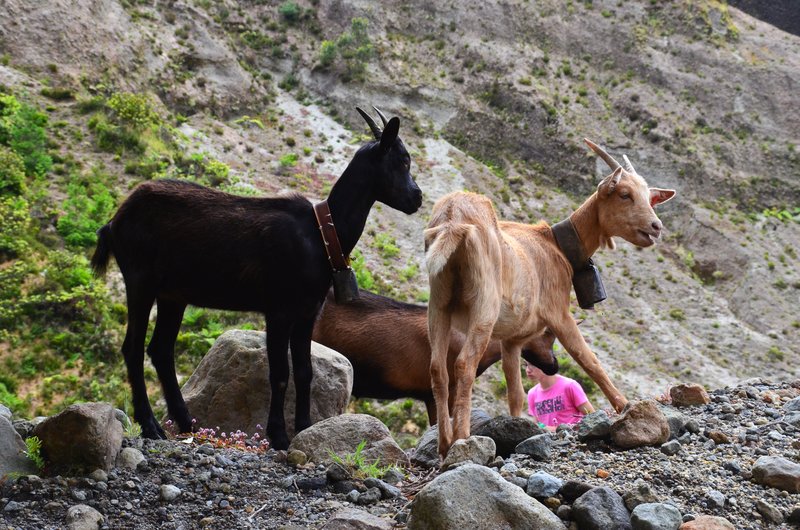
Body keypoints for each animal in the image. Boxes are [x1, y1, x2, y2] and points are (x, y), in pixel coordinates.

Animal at [90, 108, 422, 450]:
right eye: (403, 160)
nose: (417, 198)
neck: (320, 233)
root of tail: (114, 222)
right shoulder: (278, 309)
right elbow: (279, 373)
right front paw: (278, 435)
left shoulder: (308, 311)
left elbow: (304, 371)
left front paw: (304, 427)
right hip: (139, 279)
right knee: (133, 348)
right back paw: (151, 425)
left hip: (173, 294)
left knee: (161, 349)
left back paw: (185, 423)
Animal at [424, 139, 676, 456]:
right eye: (624, 194)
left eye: (648, 197)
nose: (656, 227)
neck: (555, 246)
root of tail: (453, 219)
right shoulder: (558, 312)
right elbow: (587, 358)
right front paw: (624, 404)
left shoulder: (512, 339)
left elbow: (515, 391)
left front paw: (517, 424)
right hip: (484, 305)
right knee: (463, 364)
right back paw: (461, 438)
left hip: (439, 303)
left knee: (437, 369)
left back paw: (444, 443)